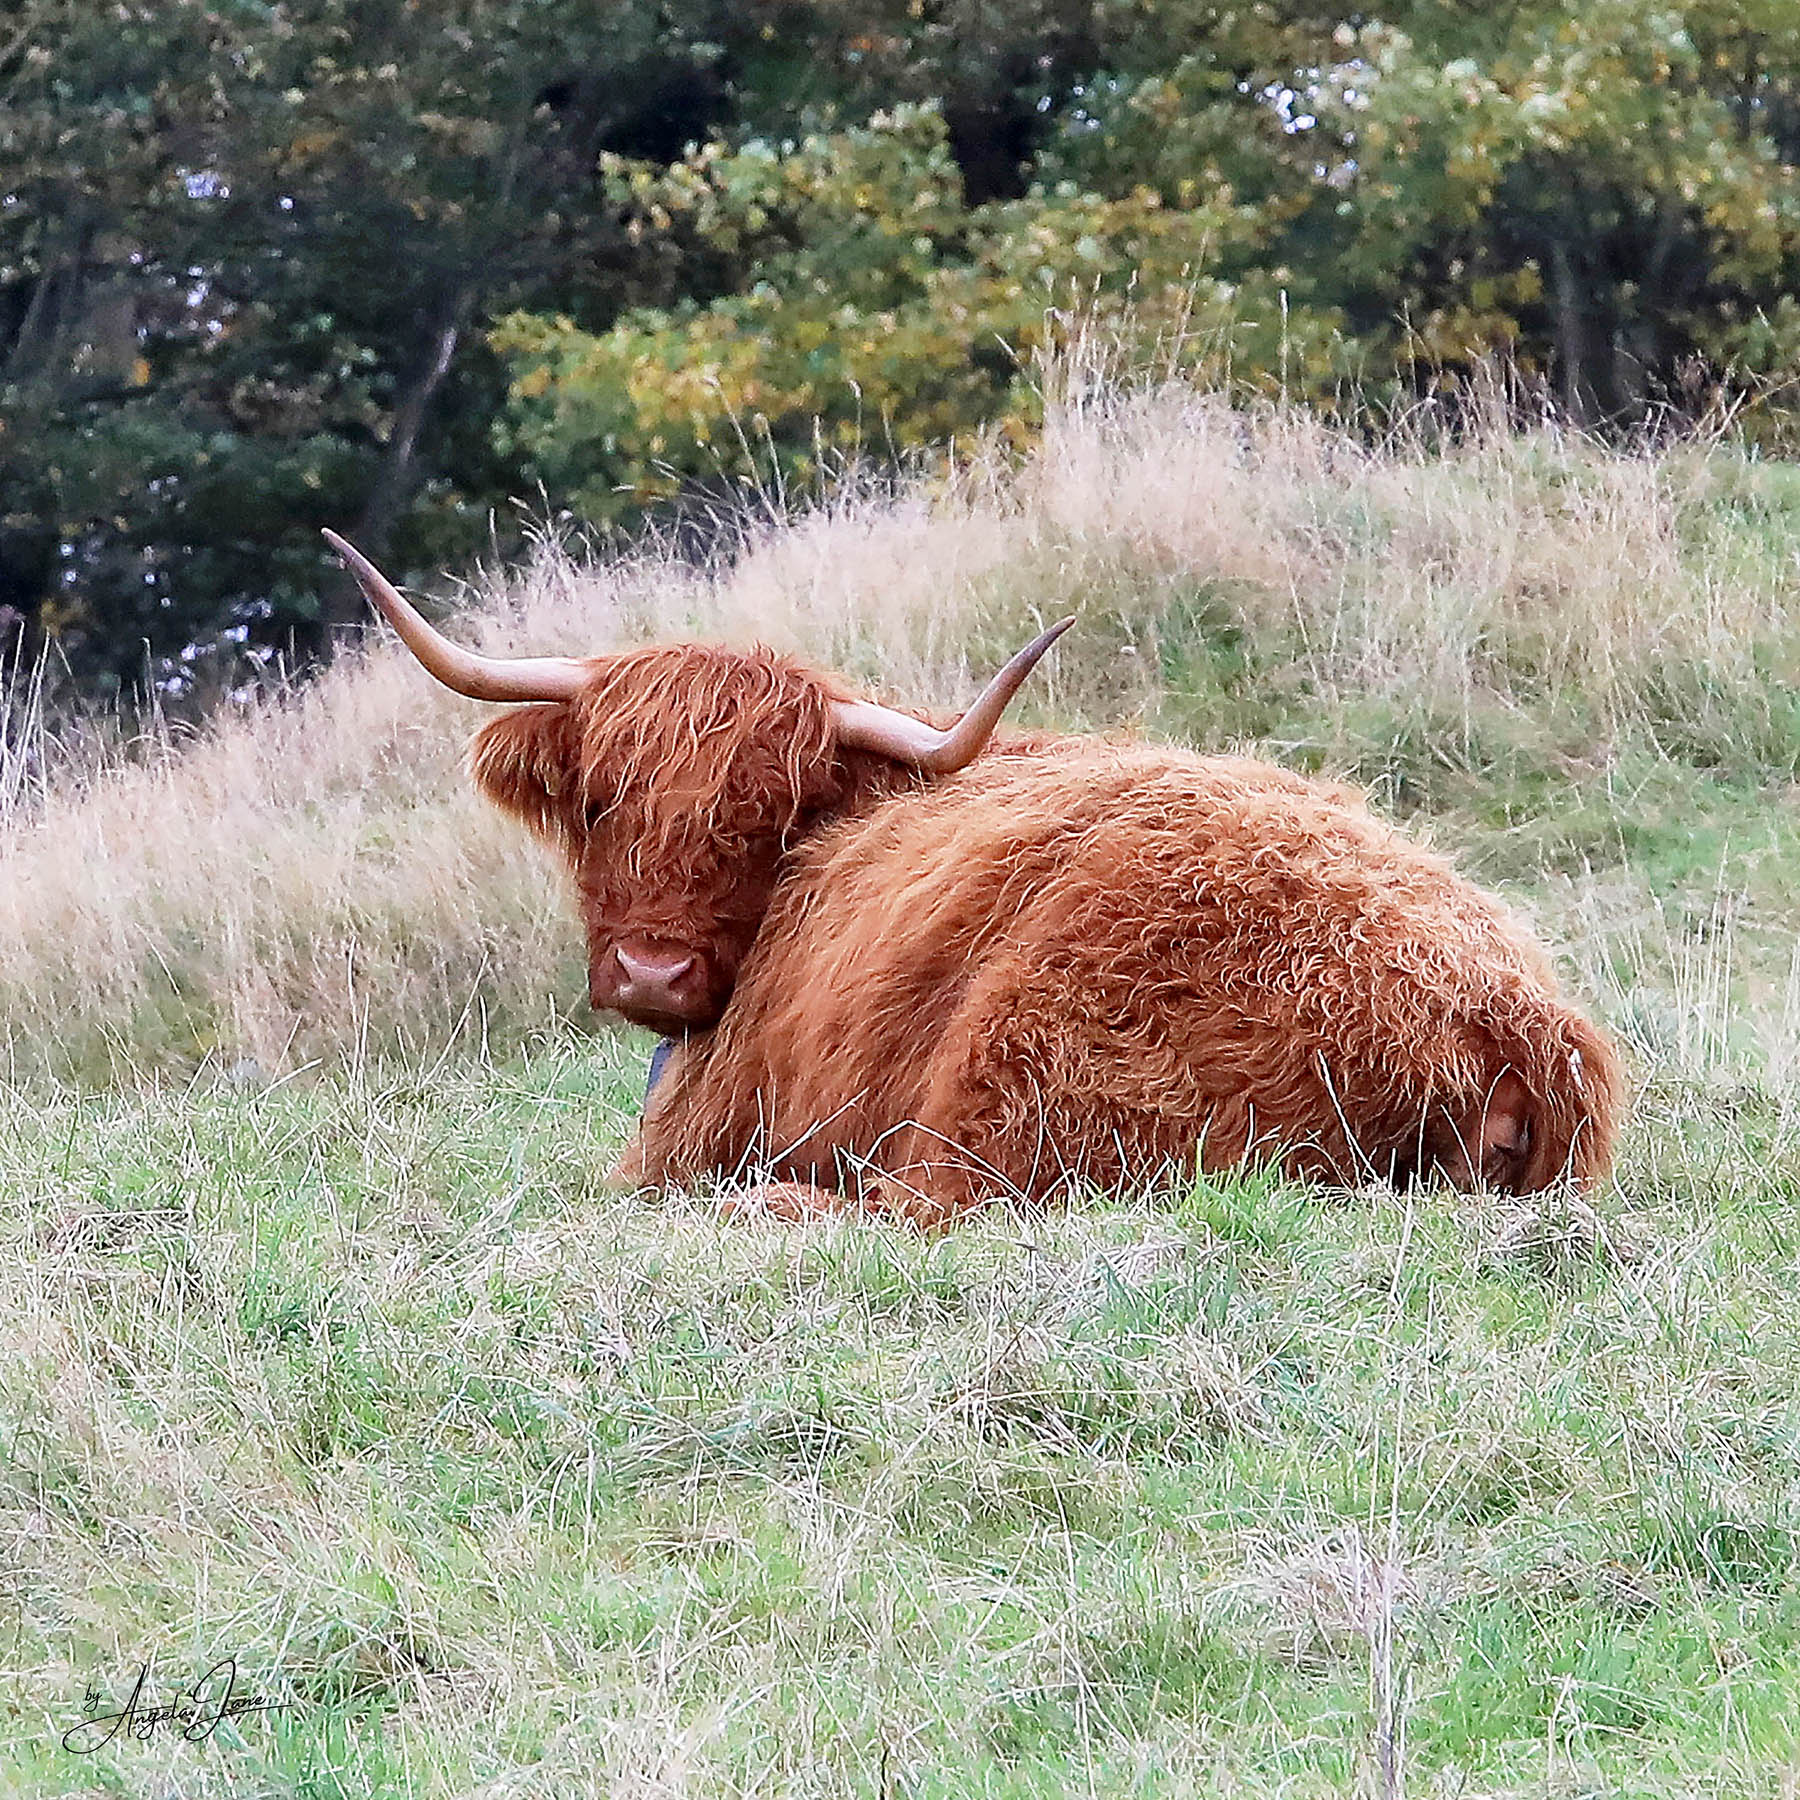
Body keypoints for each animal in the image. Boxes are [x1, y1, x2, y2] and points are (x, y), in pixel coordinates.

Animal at [328, 532, 1623, 1227]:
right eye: (602, 799)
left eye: (766, 814)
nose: (653, 971)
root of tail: (1510, 1018)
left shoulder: (682, 1138)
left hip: (1015, 1078)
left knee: (933, 1208)